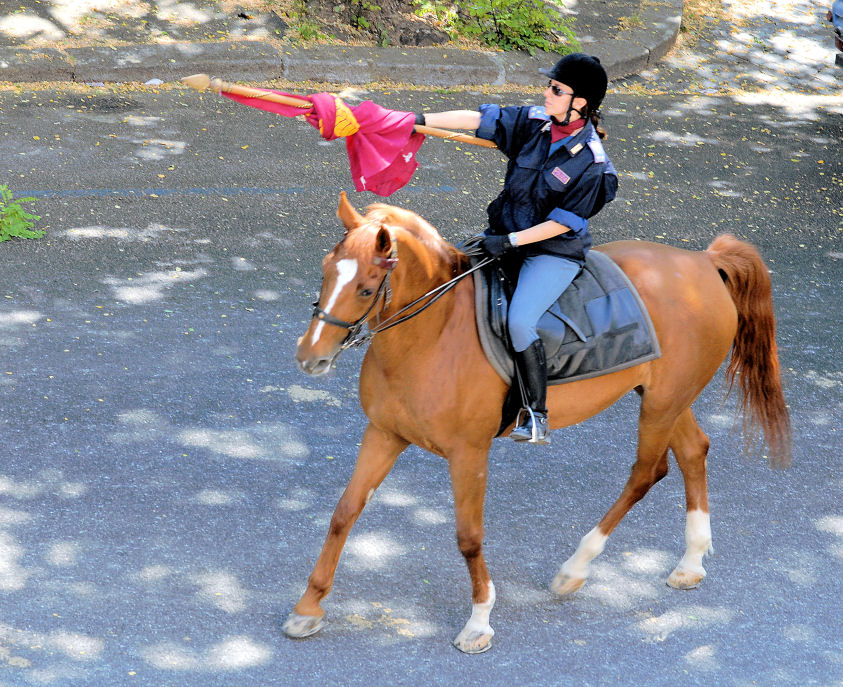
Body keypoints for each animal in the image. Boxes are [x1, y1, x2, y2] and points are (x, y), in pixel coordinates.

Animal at [286, 191, 796, 652]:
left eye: (366, 288)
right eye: (327, 271)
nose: (310, 357)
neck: (433, 333)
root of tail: (703, 262)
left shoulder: (469, 453)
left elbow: (469, 537)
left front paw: (479, 622)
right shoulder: (385, 433)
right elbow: (344, 513)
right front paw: (308, 608)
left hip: (661, 406)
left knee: (648, 471)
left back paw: (576, 568)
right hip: (665, 398)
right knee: (693, 451)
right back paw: (690, 563)